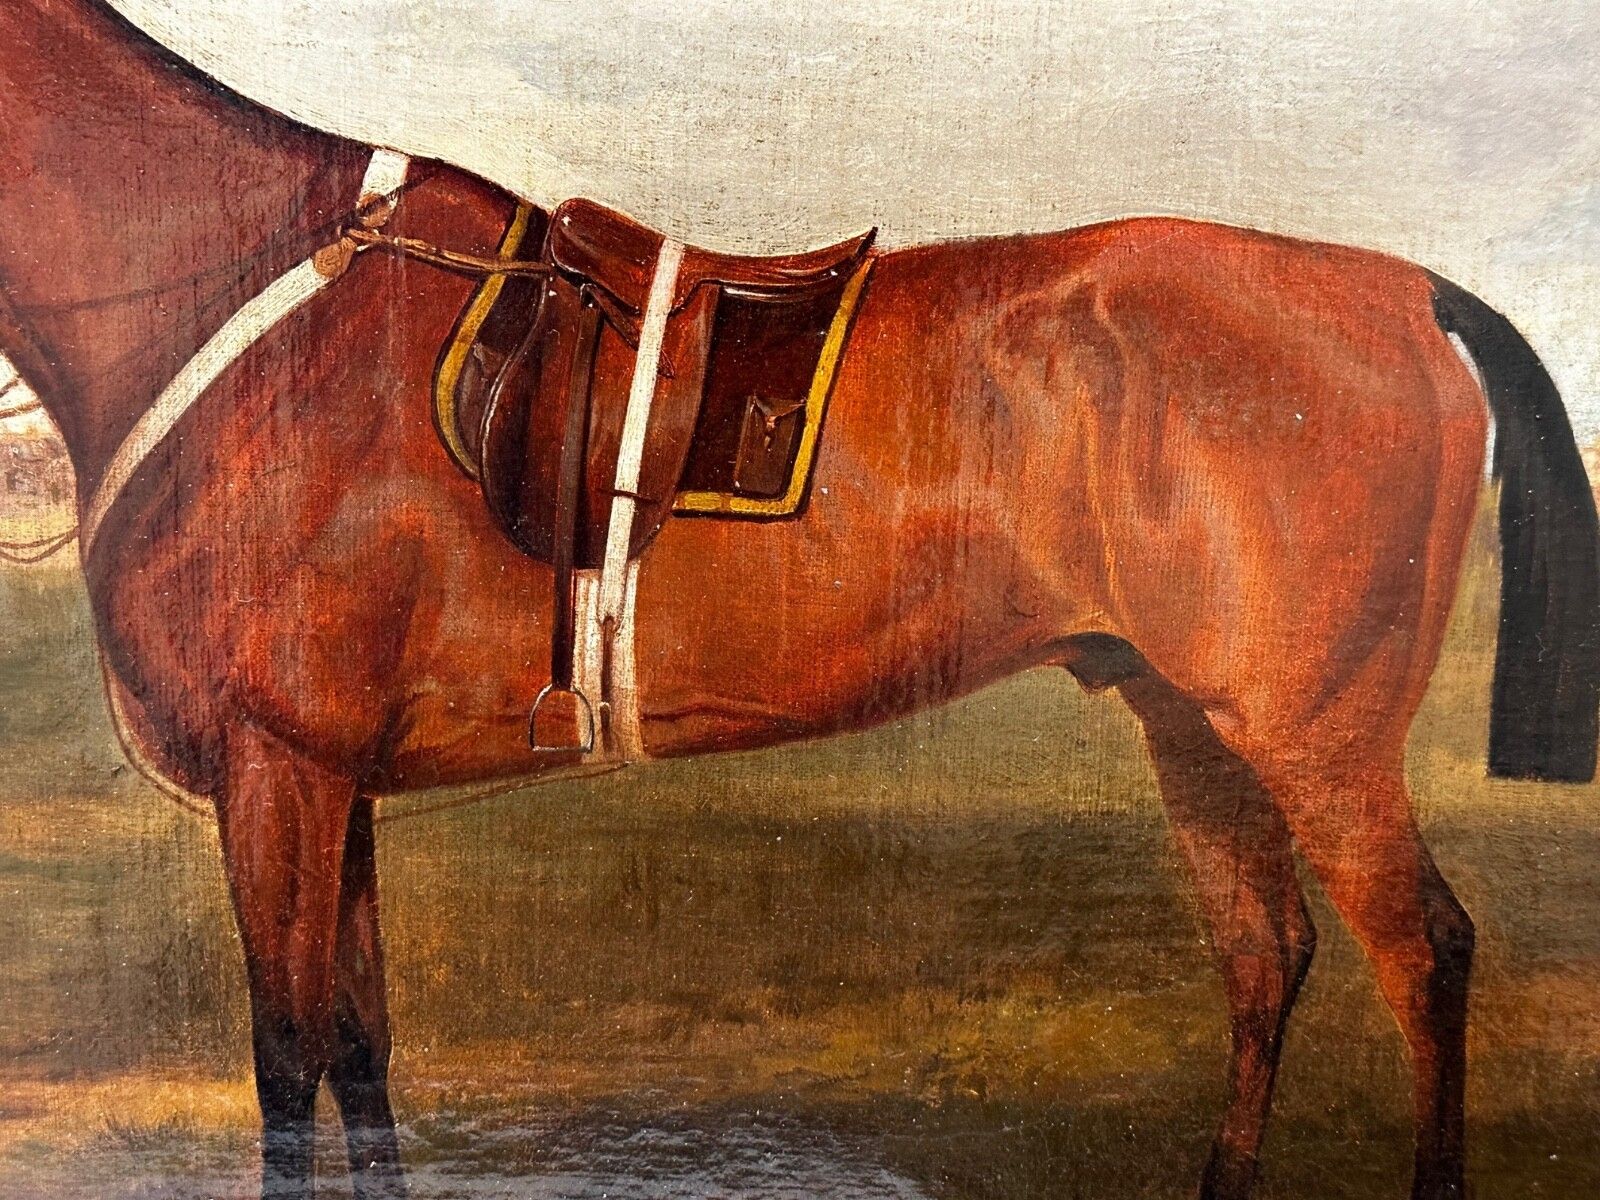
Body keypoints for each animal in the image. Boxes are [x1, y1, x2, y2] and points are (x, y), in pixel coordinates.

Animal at [2, 2, 1596, 1198]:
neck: (238, 288)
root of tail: (1408, 292)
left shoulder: (279, 770)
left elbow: (284, 1064)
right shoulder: (330, 783)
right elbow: (356, 1051)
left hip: (1316, 737)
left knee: (1424, 956)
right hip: (1190, 721)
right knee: (1268, 955)